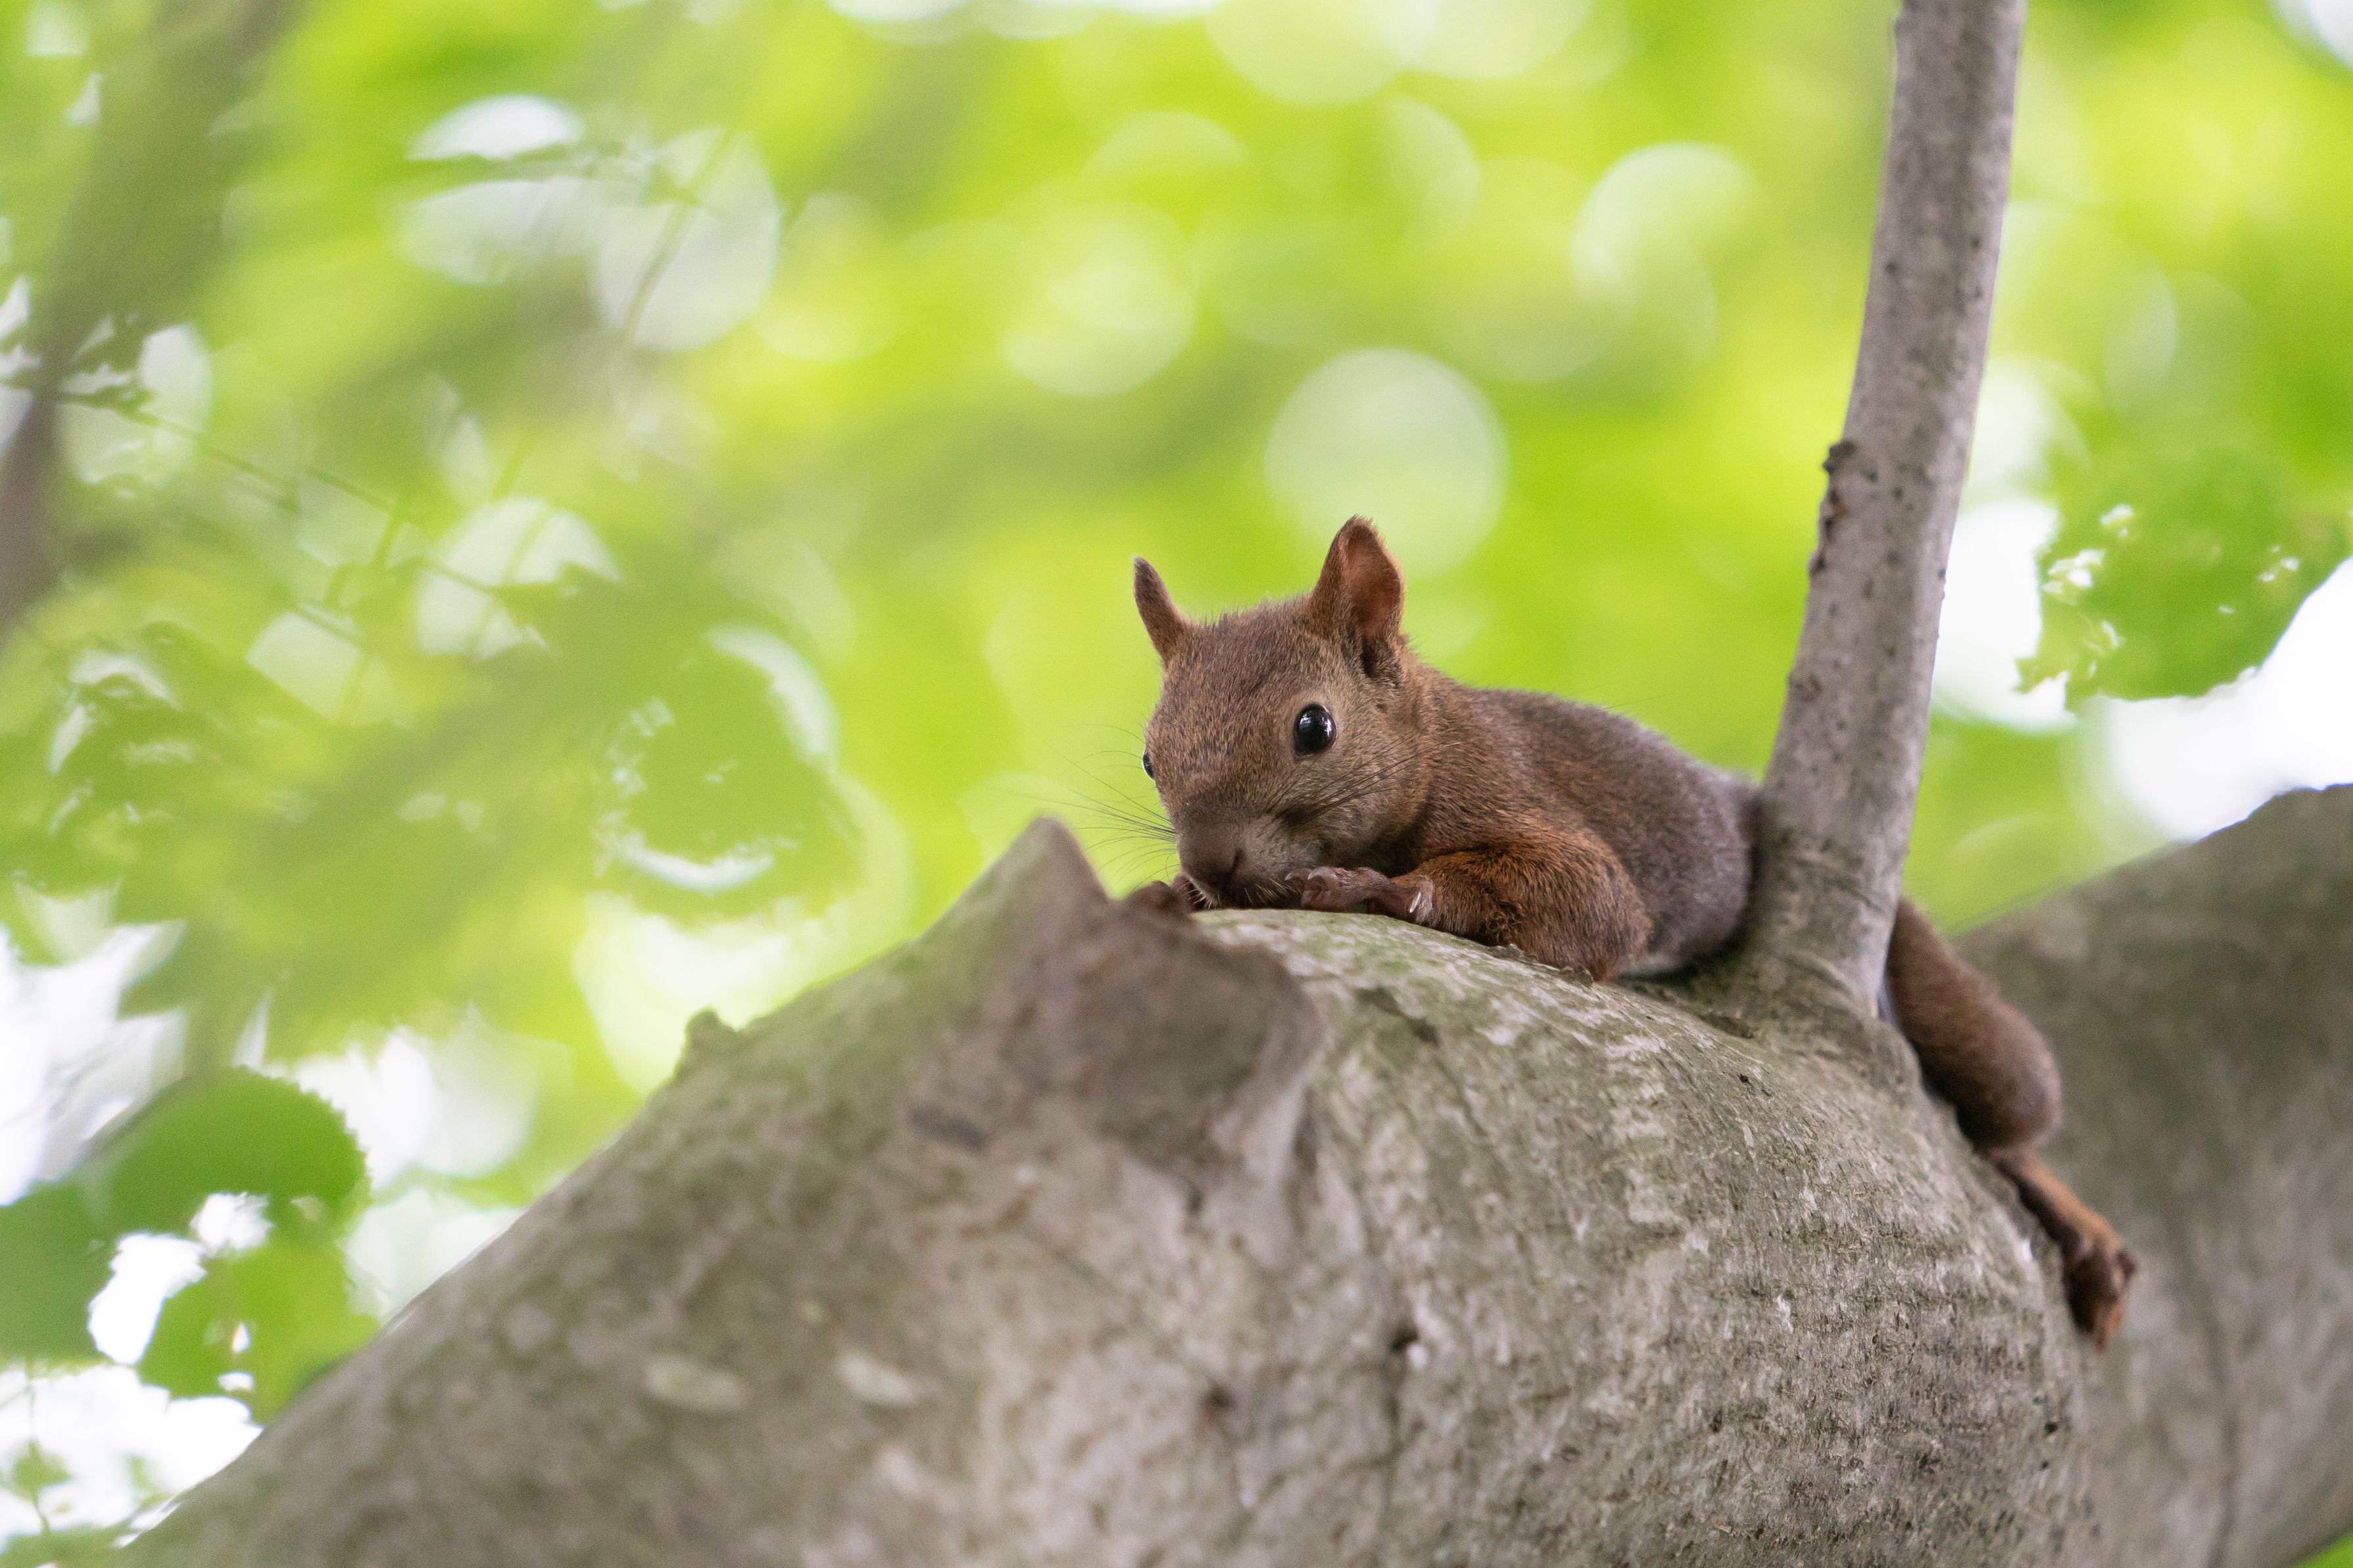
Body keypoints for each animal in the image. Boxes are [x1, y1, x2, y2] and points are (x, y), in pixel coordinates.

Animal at [1126, 516, 2137, 1348]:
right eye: (1148, 756)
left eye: (1313, 726)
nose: (1210, 859)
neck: (1427, 738)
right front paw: (1171, 893)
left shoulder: (1518, 797)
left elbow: (1589, 903)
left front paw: (1366, 888)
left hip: (1959, 1022)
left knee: (2011, 1114)